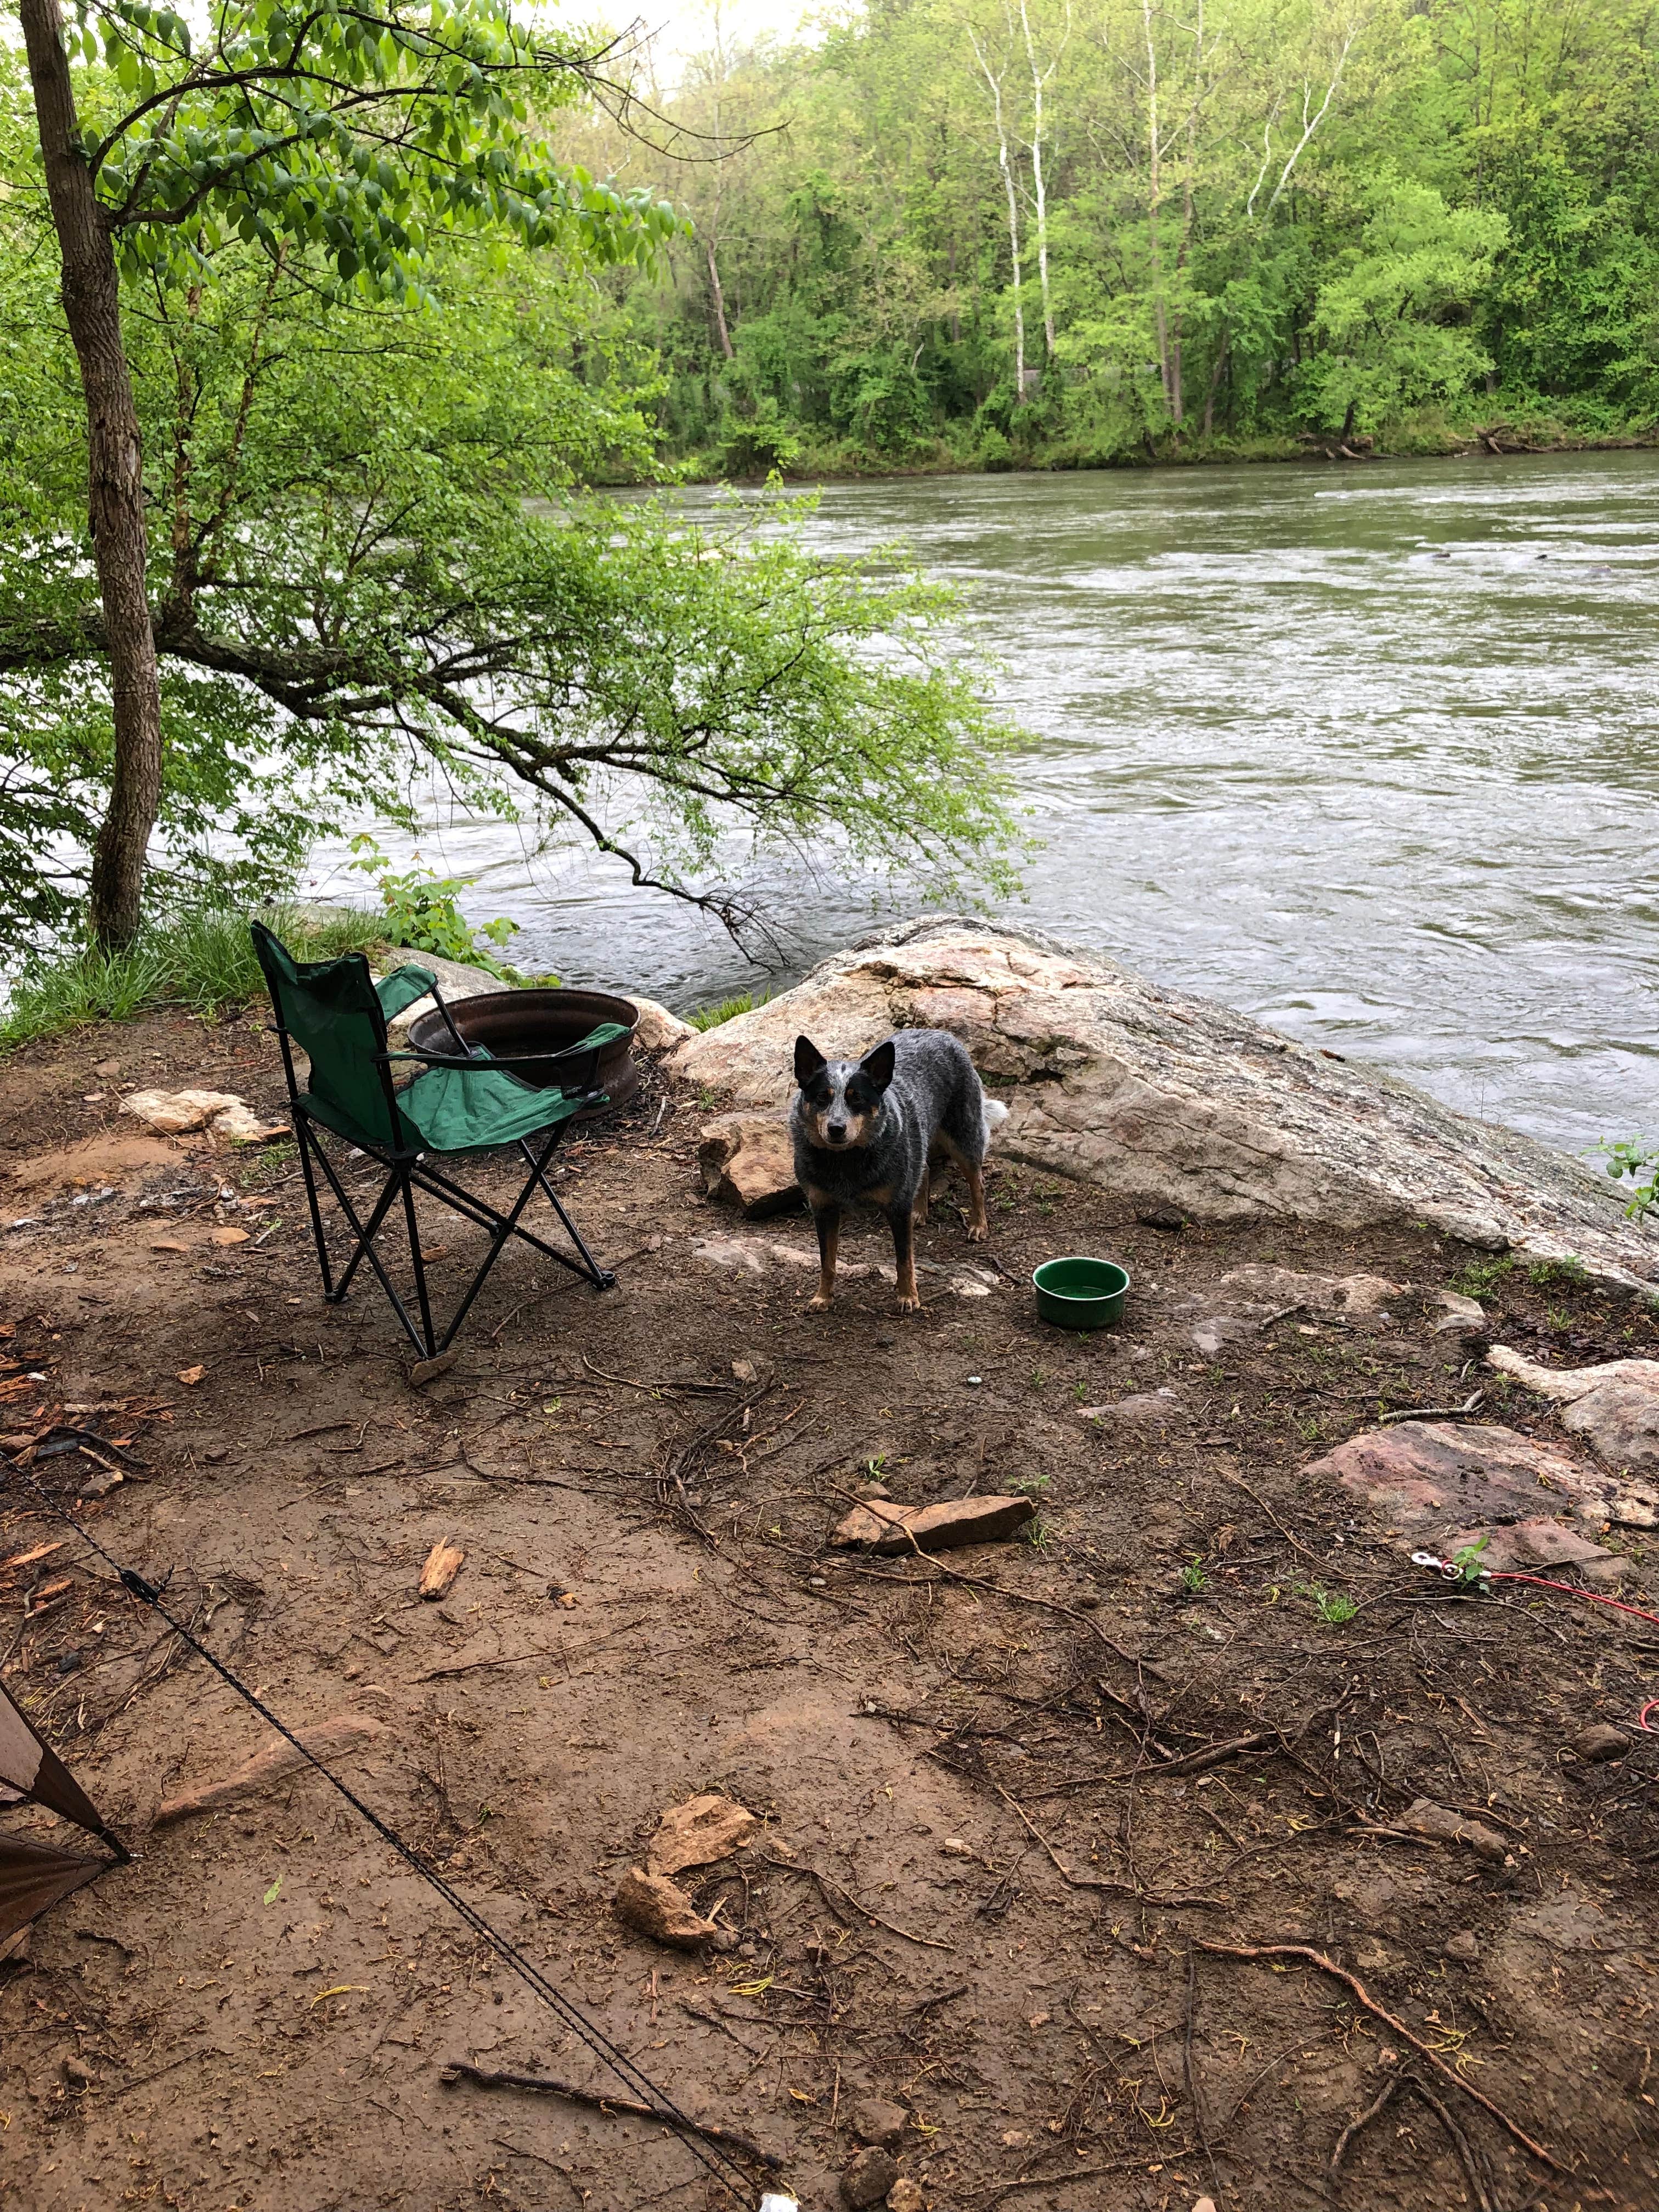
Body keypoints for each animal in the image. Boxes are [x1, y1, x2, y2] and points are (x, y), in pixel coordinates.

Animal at [796, 1022, 1013, 1300]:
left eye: (858, 1098)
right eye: (823, 1097)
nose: (836, 1128)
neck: (846, 1161)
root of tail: (938, 1032)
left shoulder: (897, 1207)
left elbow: (904, 1260)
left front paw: (908, 1297)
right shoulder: (822, 1207)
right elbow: (827, 1261)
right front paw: (822, 1297)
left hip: (963, 1137)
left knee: (978, 1182)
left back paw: (978, 1225)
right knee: (925, 1167)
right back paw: (919, 1211)